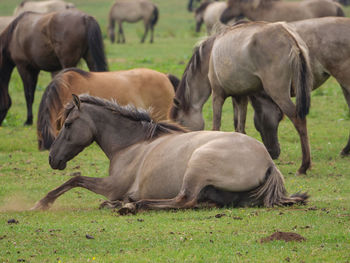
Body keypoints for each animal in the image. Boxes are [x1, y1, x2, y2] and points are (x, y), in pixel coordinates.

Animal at [31, 94, 308, 212]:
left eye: (68, 124)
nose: (52, 159)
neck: (131, 145)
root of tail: (268, 162)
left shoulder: (112, 185)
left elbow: (75, 179)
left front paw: (42, 202)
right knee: (197, 203)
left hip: (197, 166)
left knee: (183, 200)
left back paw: (133, 205)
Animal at [168, 21, 314, 175]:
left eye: (180, 122)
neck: (210, 55)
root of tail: (289, 37)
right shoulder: (241, 97)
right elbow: (240, 128)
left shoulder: (217, 95)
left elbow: (216, 126)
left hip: (278, 93)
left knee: (298, 119)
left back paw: (303, 166)